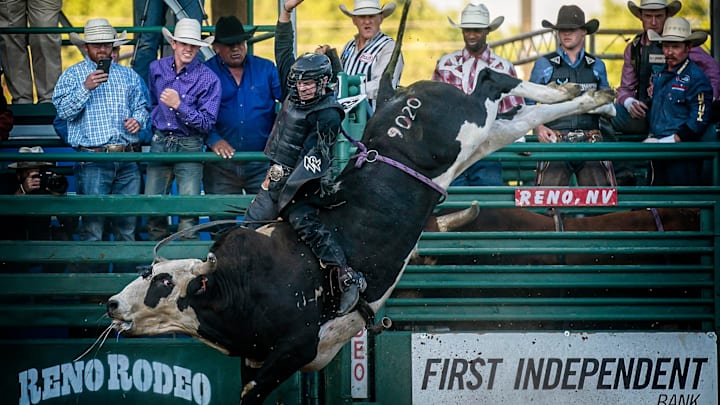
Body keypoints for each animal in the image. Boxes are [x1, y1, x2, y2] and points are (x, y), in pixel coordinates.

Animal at [107, 2, 620, 400]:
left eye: (162, 282)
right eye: (146, 272)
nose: (111, 304)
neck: (232, 283)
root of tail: (397, 94)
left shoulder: (292, 350)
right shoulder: (261, 359)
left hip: (468, 125)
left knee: (493, 79)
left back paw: (587, 93)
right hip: (482, 138)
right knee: (517, 112)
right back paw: (586, 93)